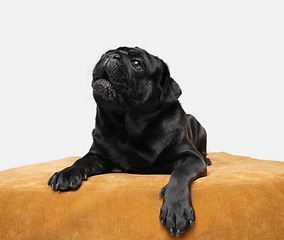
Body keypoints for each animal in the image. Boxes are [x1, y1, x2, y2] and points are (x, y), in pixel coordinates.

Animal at [48, 46, 211, 236]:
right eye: (106, 53)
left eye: (137, 64)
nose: (110, 55)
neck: (127, 128)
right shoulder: (98, 157)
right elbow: (82, 161)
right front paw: (66, 173)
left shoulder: (191, 157)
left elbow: (180, 173)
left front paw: (176, 209)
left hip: (197, 125)